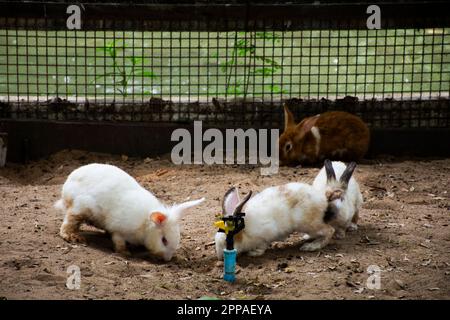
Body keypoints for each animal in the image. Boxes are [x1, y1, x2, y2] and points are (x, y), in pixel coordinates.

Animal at [55, 164, 204, 262]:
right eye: (164, 240)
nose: (167, 259)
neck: (145, 224)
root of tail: (67, 184)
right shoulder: (119, 229)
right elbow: (118, 240)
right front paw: (124, 252)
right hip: (80, 208)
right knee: (69, 222)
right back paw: (73, 237)